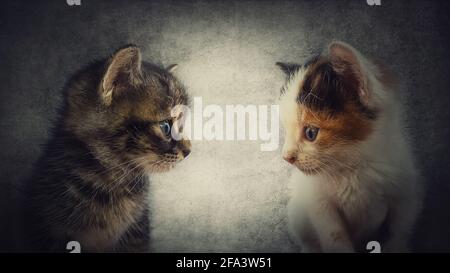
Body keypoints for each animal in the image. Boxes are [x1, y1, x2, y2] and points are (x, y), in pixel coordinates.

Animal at [278, 41, 422, 252]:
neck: (354, 168)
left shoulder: (406, 191)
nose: (287, 157)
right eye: (286, 130)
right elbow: (334, 236)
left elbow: (399, 231)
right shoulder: (318, 201)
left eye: (311, 133)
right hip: (298, 212)